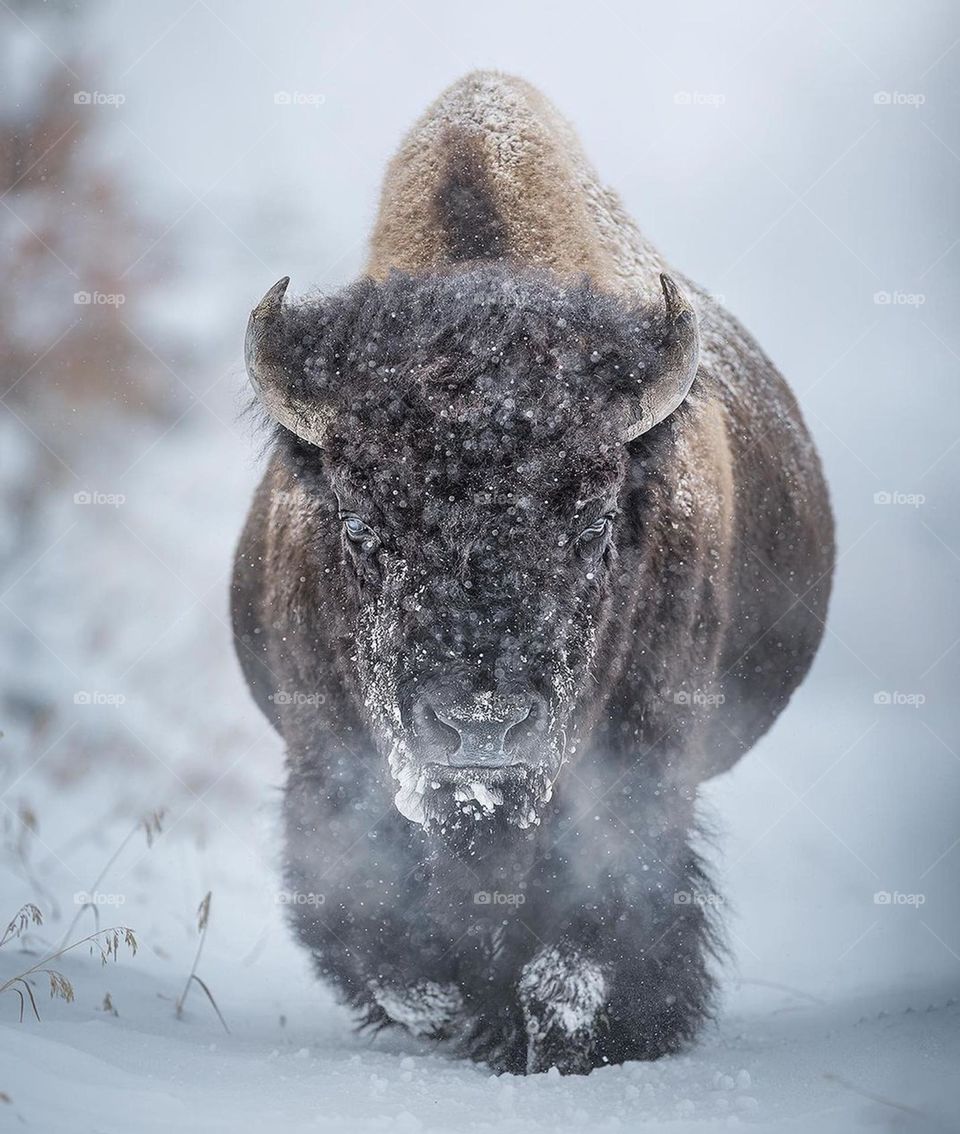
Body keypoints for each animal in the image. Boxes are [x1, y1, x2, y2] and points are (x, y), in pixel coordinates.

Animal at [231, 71, 834, 1074]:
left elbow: (583, 946)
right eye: (358, 525)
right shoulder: (330, 770)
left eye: (594, 526)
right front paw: (461, 1018)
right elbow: (390, 945)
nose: (482, 726)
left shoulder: (638, 770)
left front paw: (572, 1039)